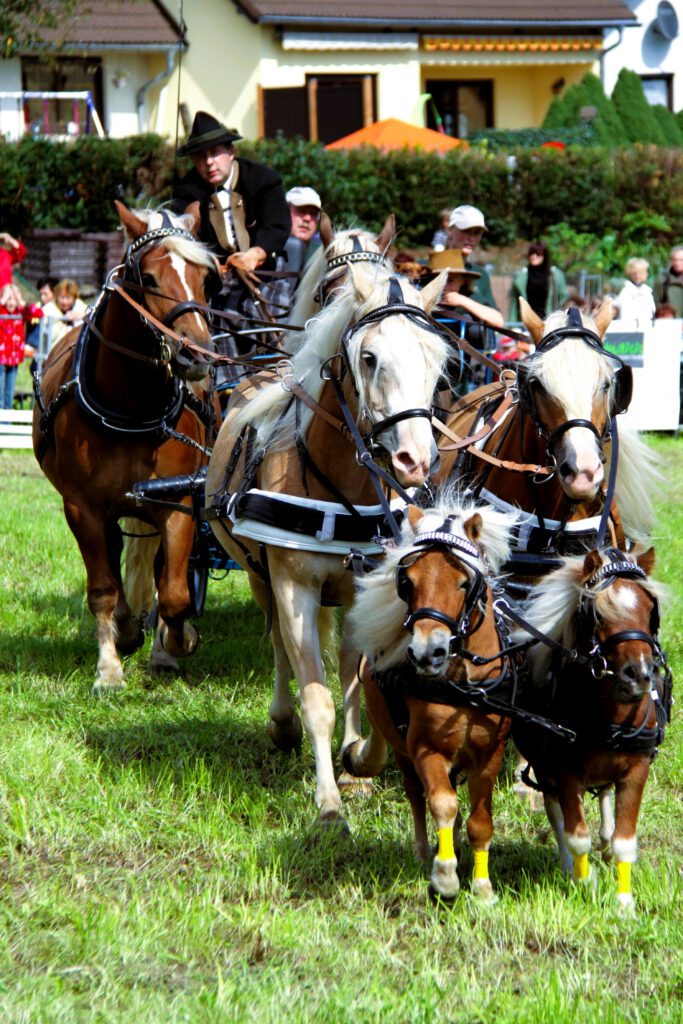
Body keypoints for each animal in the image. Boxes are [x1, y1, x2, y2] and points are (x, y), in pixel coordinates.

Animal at [32, 199, 219, 696]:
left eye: (205, 277)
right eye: (149, 278)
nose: (198, 354)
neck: (130, 408)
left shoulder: (177, 502)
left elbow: (173, 592)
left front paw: (176, 643)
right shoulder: (82, 508)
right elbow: (101, 589)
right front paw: (109, 668)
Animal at [202, 266, 448, 823]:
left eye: (436, 358)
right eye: (369, 357)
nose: (414, 460)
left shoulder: (366, 587)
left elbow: (357, 676)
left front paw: (359, 760)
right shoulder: (293, 584)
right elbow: (316, 696)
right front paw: (329, 805)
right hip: (261, 578)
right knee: (278, 644)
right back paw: (281, 724)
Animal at [344, 495, 520, 905]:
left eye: (464, 581)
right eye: (408, 582)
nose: (428, 652)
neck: (466, 684)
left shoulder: (489, 754)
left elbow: (479, 821)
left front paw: (483, 886)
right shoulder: (425, 748)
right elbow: (442, 803)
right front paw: (445, 876)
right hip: (401, 748)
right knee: (415, 794)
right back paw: (427, 851)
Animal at [509, 548, 671, 909]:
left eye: (650, 610)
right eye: (598, 614)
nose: (638, 675)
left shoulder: (636, 769)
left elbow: (625, 840)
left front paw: (624, 904)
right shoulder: (565, 771)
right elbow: (575, 835)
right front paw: (584, 882)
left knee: (605, 797)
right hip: (544, 768)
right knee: (556, 812)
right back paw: (569, 865)